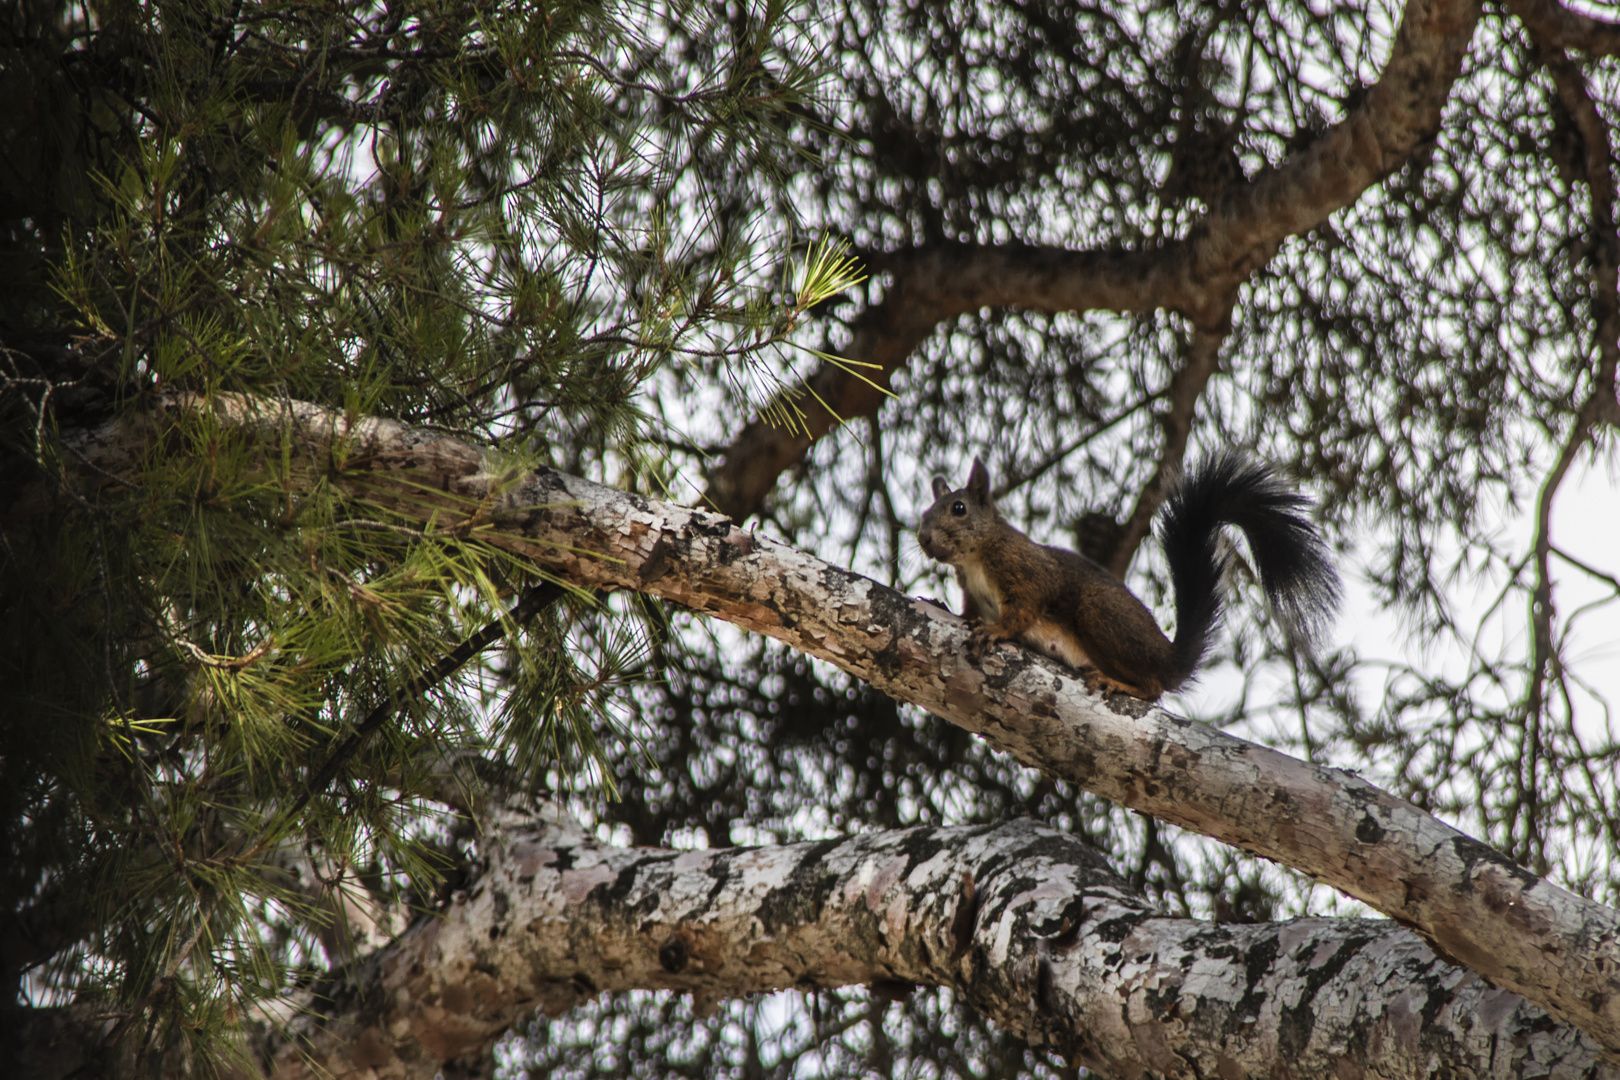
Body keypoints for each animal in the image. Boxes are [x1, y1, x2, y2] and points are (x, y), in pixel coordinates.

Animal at [920, 450, 1334, 696]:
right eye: (925, 513)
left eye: (958, 508)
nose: (923, 538)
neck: (974, 560)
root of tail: (1170, 659)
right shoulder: (972, 591)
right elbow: (967, 610)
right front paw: (944, 605)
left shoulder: (1025, 569)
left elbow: (1025, 605)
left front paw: (996, 630)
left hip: (1101, 612)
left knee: (1153, 689)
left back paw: (1119, 683)